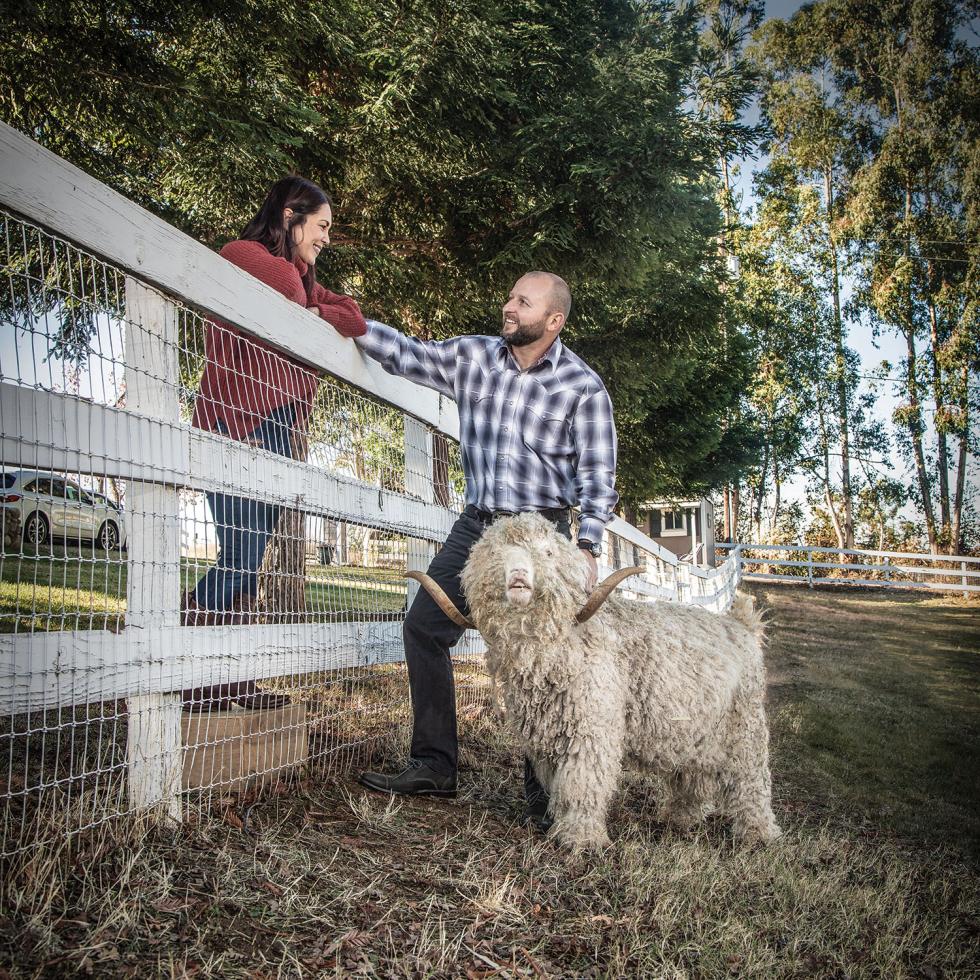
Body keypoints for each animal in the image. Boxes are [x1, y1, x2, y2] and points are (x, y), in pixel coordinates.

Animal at [410, 512, 776, 848]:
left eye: (547, 552)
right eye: (495, 554)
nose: (517, 576)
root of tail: (742, 625)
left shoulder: (591, 727)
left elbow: (582, 782)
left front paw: (580, 838)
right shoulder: (547, 738)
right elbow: (560, 783)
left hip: (745, 726)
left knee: (751, 778)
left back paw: (758, 832)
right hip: (696, 730)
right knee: (694, 774)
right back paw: (681, 816)